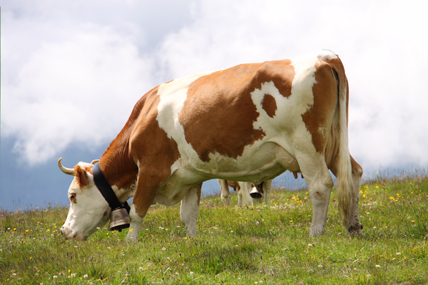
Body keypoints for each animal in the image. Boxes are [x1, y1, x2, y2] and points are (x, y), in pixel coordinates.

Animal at [58, 50, 362, 241]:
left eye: (72, 196)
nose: (63, 232)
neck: (143, 117)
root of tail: (322, 56)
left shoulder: (150, 168)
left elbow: (137, 212)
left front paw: (130, 246)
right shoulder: (190, 176)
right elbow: (189, 215)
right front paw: (191, 242)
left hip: (307, 144)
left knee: (321, 185)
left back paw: (315, 234)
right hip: (333, 143)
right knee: (353, 173)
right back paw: (353, 227)